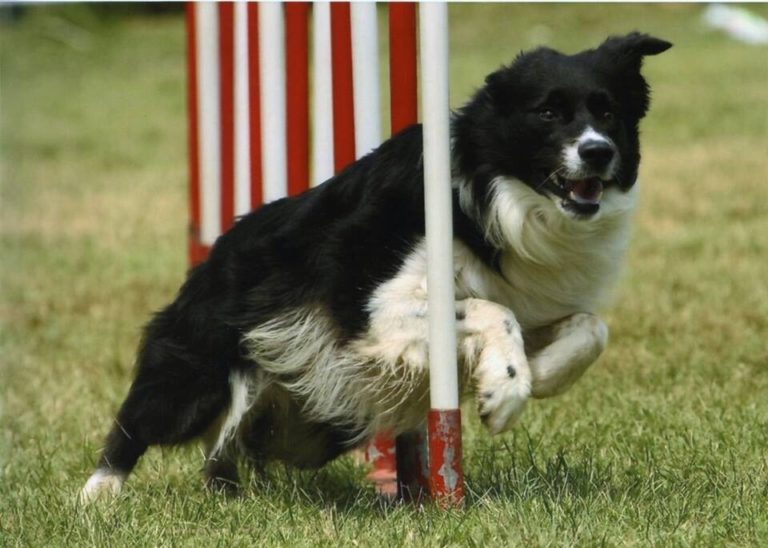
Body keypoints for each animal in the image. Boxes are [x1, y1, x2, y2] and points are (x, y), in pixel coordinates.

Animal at [84, 32, 668, 498]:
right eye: (548, 112)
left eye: (608, 112)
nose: (597, 153)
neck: (500, 198)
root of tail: (215, 252)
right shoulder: (372, 310)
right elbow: (489, 309)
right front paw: (504, 390)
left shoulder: (532, 295)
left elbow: (589, 326)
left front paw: (538, 374)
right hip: (201, 369)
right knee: (140, 421)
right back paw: (99, 499)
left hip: (313, 423)